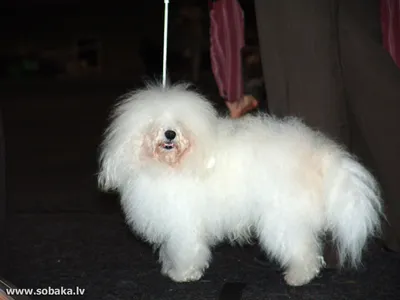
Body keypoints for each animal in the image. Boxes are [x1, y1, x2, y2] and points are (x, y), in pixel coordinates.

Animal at [98, 82, 382, 286]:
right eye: (153, 122)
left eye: (179, 123)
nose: (170, 134)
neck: (171, 165)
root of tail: (316, 154)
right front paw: (170, 268)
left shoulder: (184, 223)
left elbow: (186, 249)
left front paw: (183, 274)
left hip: (283, 219)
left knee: (303, 250)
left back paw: (299, 277)